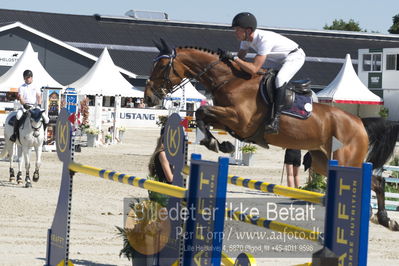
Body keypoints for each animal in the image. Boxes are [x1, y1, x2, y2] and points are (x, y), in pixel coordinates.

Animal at [145, 39, 399, 231]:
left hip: (347, 159)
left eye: (162, 66)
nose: (148, 97)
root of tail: (358, 122)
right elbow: (203, 116)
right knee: (374, 181)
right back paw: (384, 219)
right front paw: (221, 144)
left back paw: (384, 218)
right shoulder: (228, 118)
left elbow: (202, 111)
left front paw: (215, 142)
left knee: (375, 181)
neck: (230, 80)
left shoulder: (240, 119)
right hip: (323, 162)